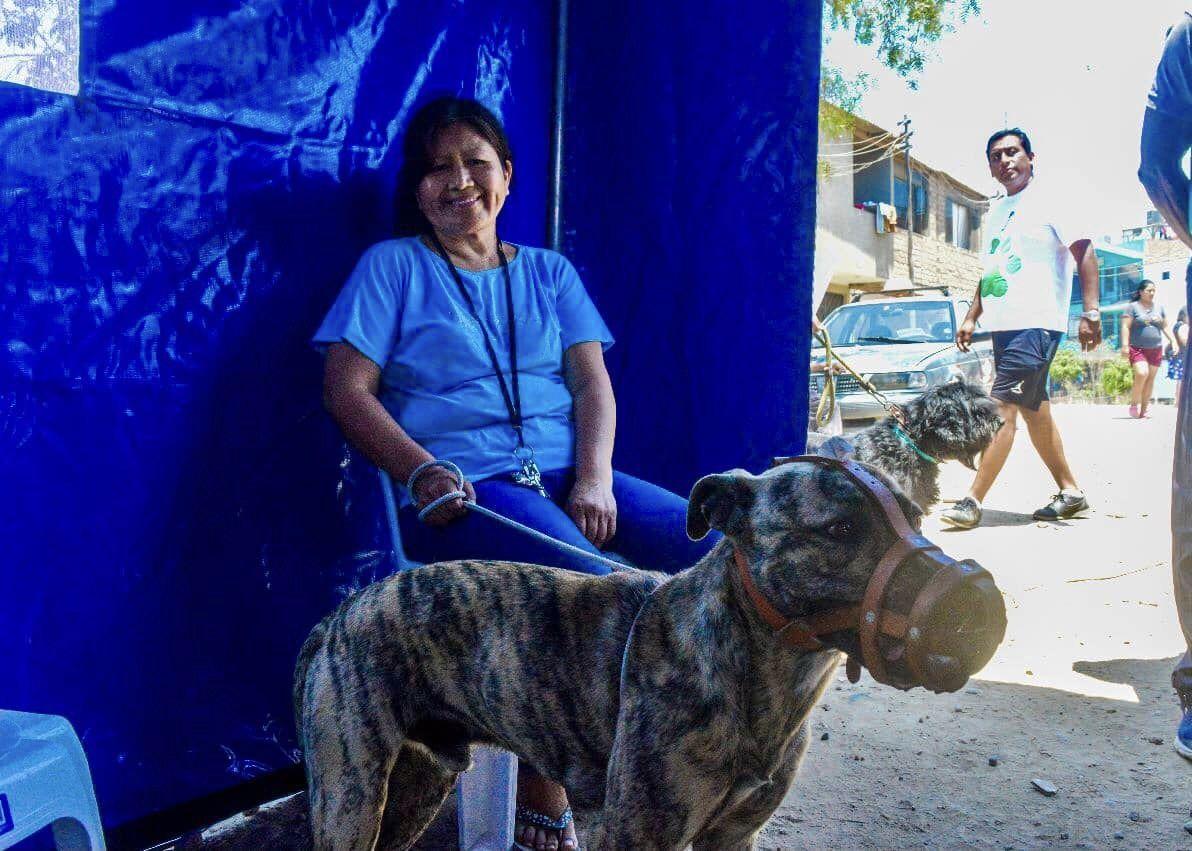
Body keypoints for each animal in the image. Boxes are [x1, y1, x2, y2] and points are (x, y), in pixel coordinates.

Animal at [294, 458, 999, 851]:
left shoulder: (733, 838)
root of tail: (336, 616)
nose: (983, 603)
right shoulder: (638, 834)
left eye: (915, 518)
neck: (754, 670)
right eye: (840, 529)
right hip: (351, 798)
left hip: (416, 788)